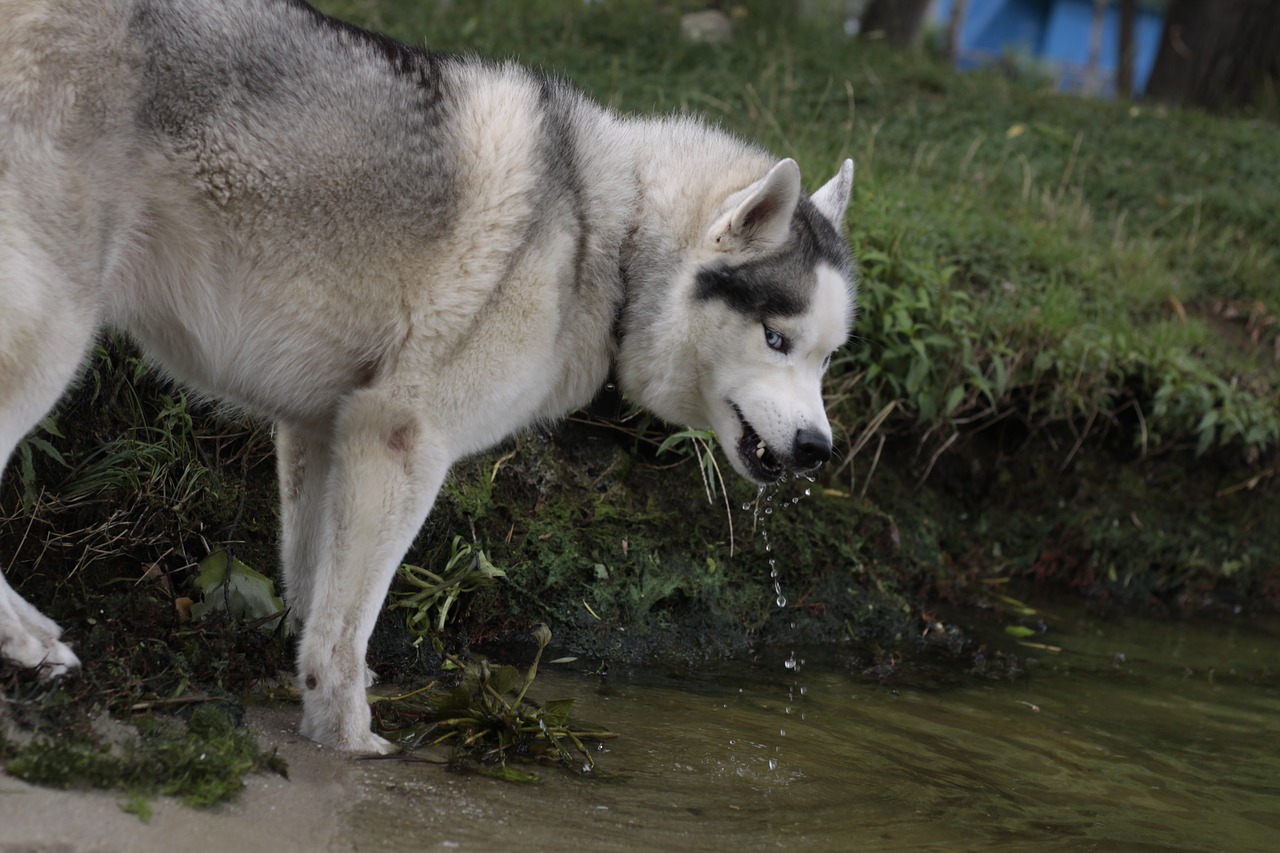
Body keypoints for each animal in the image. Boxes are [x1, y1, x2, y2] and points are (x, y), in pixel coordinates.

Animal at [2, 0, 860, 747]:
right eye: (776, 339)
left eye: (827, 356)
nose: (820, 449)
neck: (613, 233)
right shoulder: (402, 438)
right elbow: (348, 624)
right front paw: (349, 735)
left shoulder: (325, 433)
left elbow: (319, 597)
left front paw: (315, 693)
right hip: (54, 333)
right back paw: (27, 640)